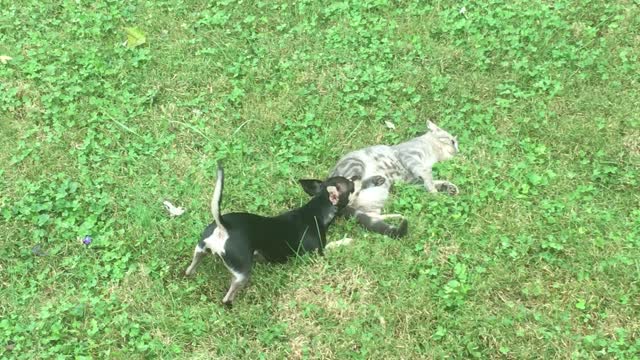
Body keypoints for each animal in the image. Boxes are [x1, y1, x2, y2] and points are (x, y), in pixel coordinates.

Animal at [185, 162, 384, 304]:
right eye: (351, 186)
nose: (357, 176)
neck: (316, 209)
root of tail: (224, 226)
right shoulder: (319, 252)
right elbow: (333, 245)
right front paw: (347, 240)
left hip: (201, 247)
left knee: (192, 264)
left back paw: (190, 273)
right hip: (242, 272)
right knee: (229, 294)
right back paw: (230, 303)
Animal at [322, 121, 458, 239]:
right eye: (452, 141)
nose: (458, 151)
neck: (432, 156)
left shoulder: (410, 181)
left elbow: (433, 181)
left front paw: (448, 187)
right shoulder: (409, 156)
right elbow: (427, 176)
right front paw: (434, 192)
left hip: (380, 194)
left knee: (370, 214)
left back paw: (396, 216)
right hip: (355, 166)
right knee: (352, 190)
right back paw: (374, 180)